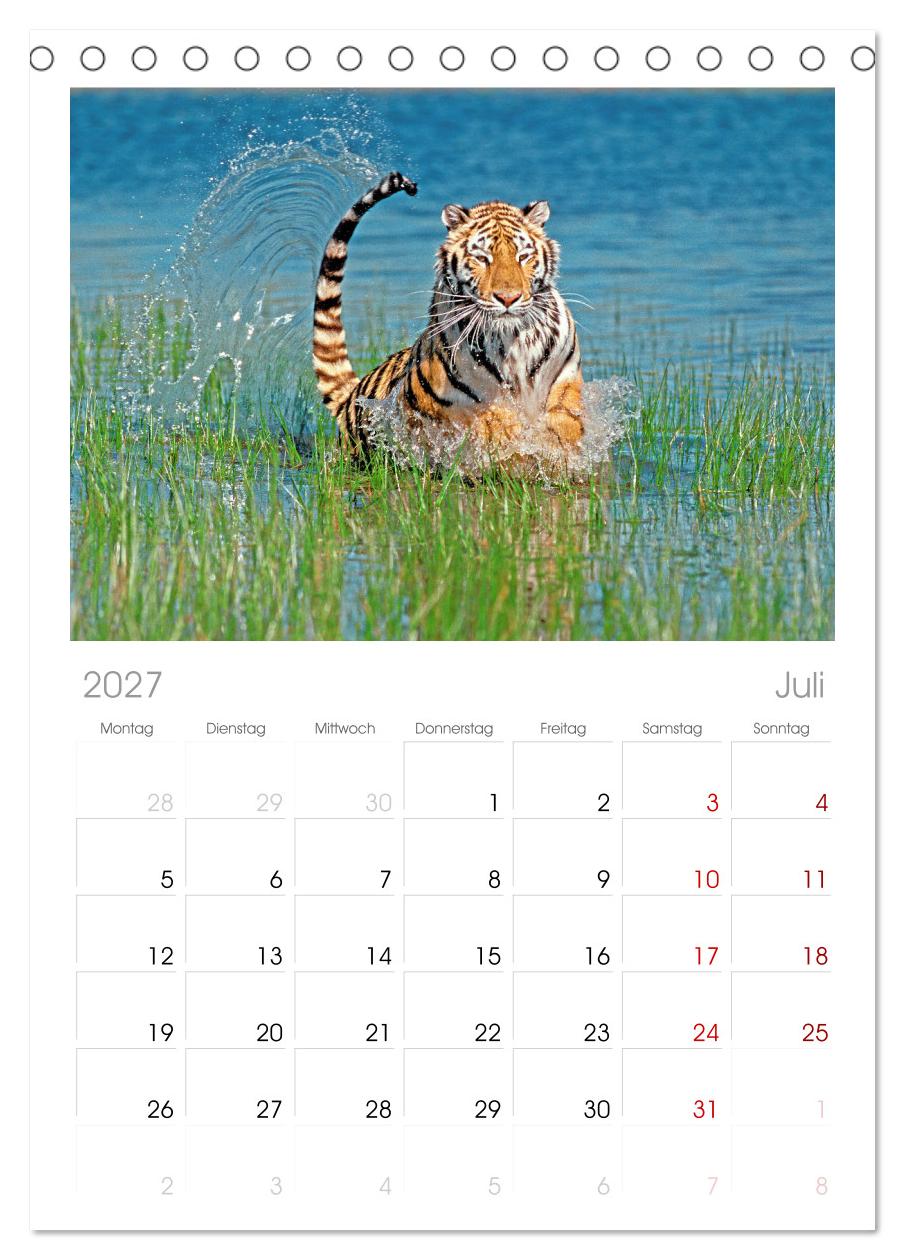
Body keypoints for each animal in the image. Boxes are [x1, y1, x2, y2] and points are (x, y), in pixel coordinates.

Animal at [312, 171, 583, 466]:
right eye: (482, 258)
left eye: (523, 256)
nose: (508, 298)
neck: (512, 341)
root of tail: (351, 395)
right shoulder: (451, 406)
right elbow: (490, 420)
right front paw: (512, 440)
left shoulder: (565, 376)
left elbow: (567, 420)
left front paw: (557, 450)